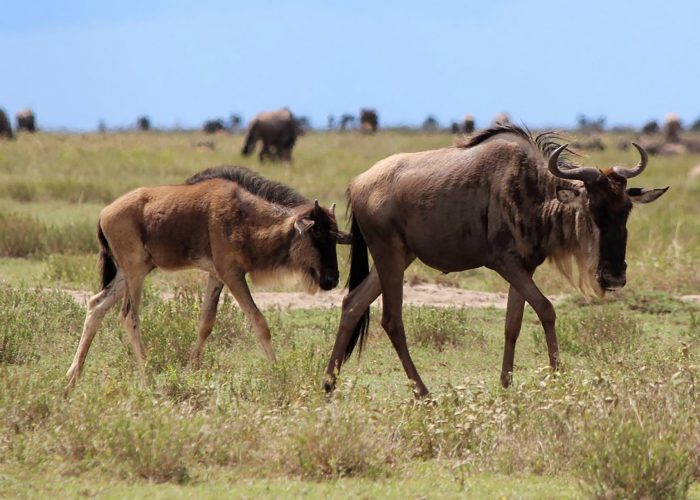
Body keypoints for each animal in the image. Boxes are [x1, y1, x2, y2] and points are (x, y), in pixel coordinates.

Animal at [66, 166, 350, 388]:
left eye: (335, 237)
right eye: (316, 235)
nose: (332, 279)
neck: (247, 217)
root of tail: (104, 213)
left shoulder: (217, 276)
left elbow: (205, 323)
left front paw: (191, 371)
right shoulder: (232, 274)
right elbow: (259, 322)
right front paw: (277, 372)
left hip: (132, 271)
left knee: (96, 305)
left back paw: (72, 377)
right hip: (135, 272)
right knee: (129, 316)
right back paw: (147, 377)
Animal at [326, 123, 668, 396]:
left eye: (626, 210)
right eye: (593, 208)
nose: (614, 277)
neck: (534, 193)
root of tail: (357, 184)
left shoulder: (525, 266)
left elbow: (512, 323)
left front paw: (506, 384)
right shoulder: (504, 263)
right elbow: (546, 309)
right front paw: (558, 377)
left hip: (399, 257)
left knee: (353, 304)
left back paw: (328, 384)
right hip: (390, 255)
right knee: (391, 319)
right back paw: (422, 393)